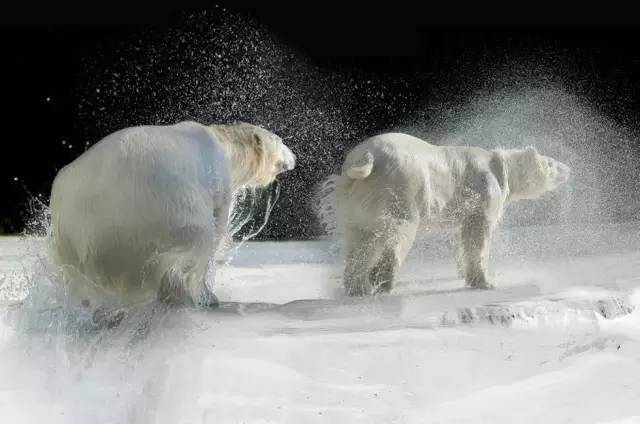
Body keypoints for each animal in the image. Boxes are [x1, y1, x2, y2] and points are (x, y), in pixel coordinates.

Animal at [49, 121, 296, 310]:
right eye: (281, 141)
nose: (294, 157)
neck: (222, 145)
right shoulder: (216, 184)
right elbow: (216, 227)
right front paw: (207, 293)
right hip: (155, 211)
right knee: (197, 239)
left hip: (69, 237)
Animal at [336, 132, 568, 294]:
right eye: (551, 163)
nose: (569, 169)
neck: (499, 166)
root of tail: (366, 158)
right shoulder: (483, 192)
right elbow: (478, 235)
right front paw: (486, 281)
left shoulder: (461, 210)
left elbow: (459, 236)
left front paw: (463, 272)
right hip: (400, 186)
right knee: (397, 231)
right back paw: (381, 280)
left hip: (352, 200)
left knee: (358, 239)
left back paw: (358, 288)